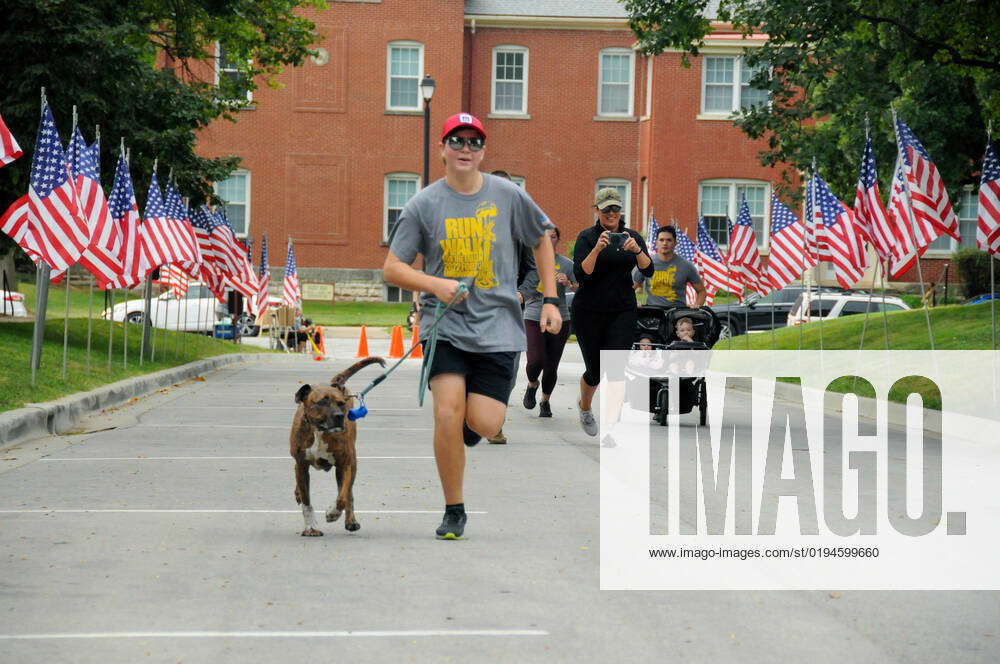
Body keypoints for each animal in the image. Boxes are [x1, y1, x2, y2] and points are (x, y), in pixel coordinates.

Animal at [292, 358, 384, 536]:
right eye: (322, 402)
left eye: (341, 403)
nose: (340, 416)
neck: (319, 432)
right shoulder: (301, 465)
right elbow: (307, 502)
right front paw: (311, 527)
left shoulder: (345, 464)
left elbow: (342, 497)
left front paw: (332, 513)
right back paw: (297, 492)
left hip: (350, 463)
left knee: (349, 494)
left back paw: (351, 521)